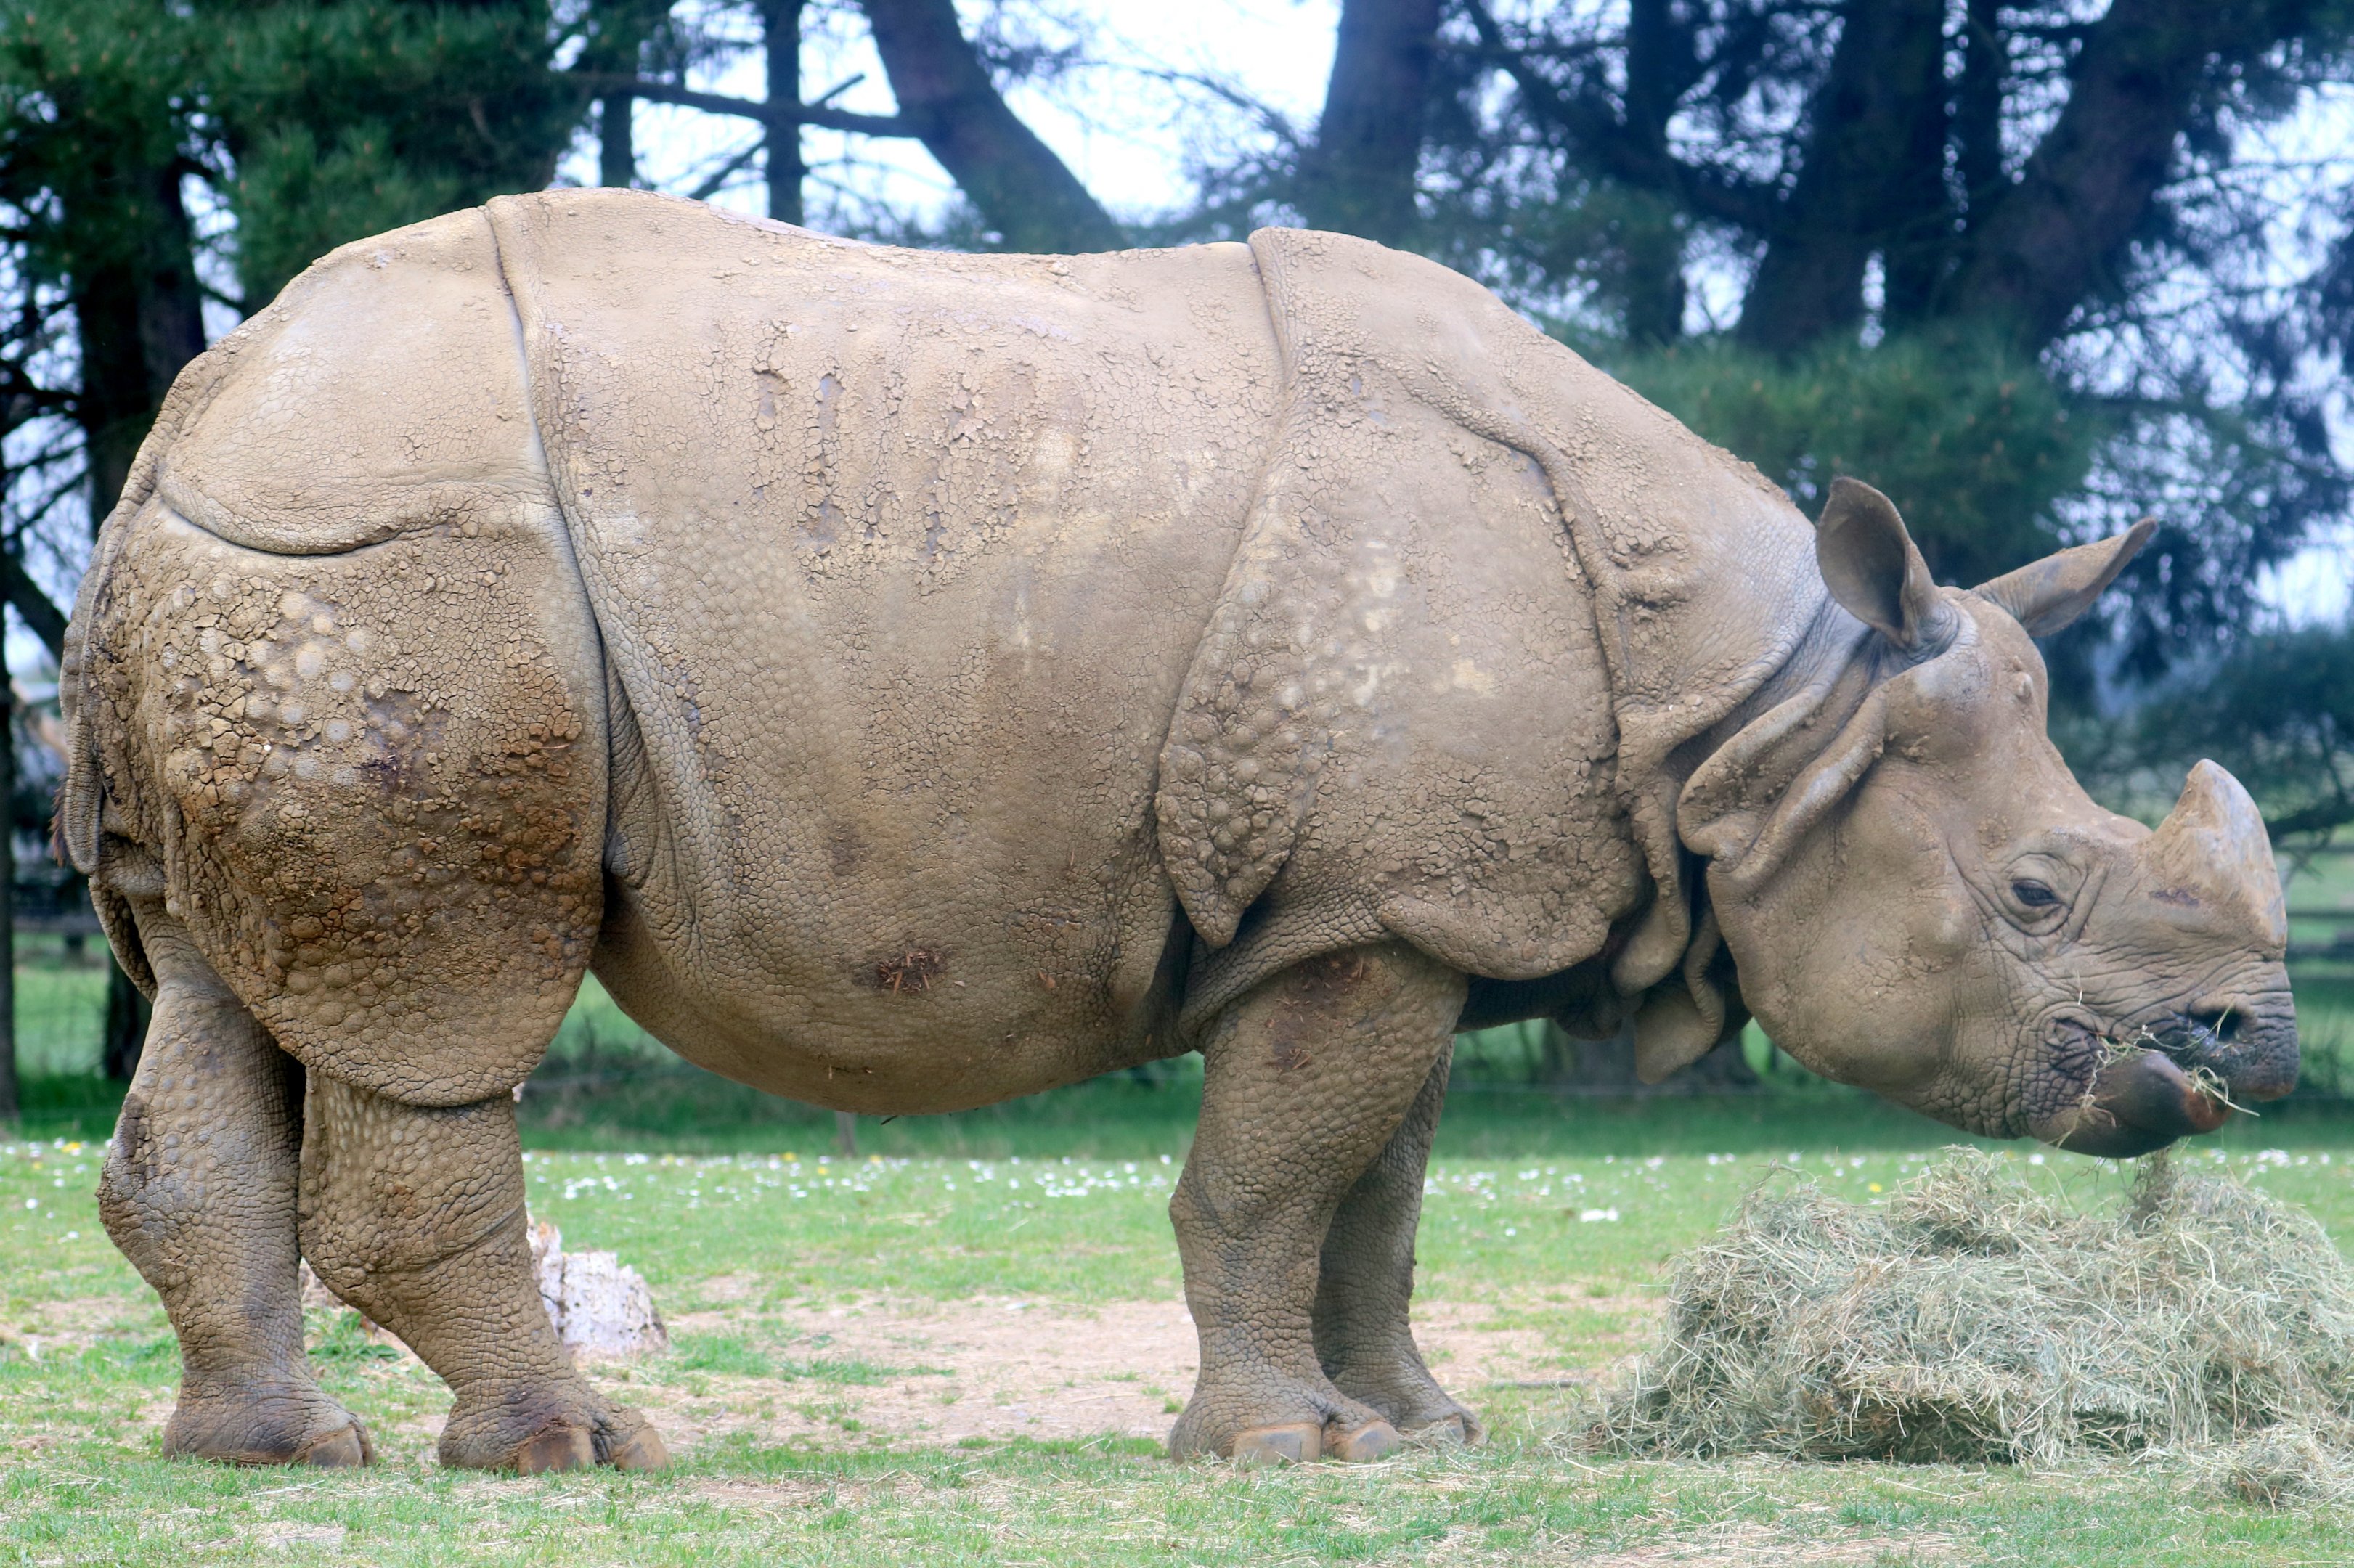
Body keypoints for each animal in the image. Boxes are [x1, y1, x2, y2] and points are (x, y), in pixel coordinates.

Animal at [63, 189, 2295, 1473]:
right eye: (2037, 891)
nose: (2258, 1047)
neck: (1762, 721)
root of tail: (191, 413)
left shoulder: (1407, 901)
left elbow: (1377, 1193)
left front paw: (1415, 1433)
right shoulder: (1367, 906)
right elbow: (1271, 1177)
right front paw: (1283, 1455)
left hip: (276, 563)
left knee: (232, 983)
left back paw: (276, 1456)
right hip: (403, 571)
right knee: (446, 994)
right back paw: (574, 1450)